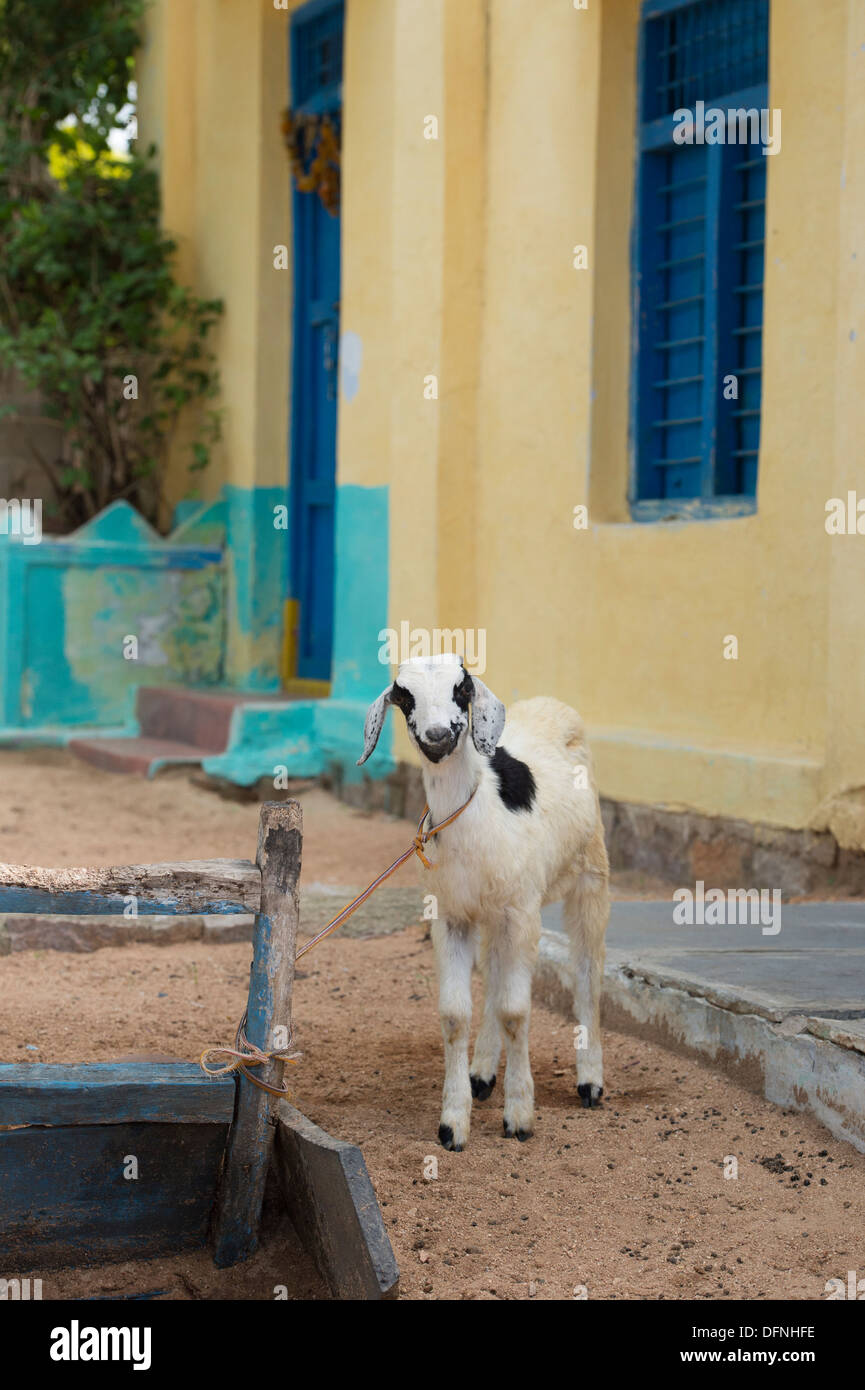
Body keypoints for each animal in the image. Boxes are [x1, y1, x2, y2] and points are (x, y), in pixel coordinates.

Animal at [358, 650, 609, 1150]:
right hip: (493, 912)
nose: (438, 735)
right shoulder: (452, 915)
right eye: (403, 695)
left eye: (461, 688)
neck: (478, 811)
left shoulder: (523, 913)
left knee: (588, 974)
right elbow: (456, 1014)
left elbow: (516, 1010)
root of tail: (551, 706)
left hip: (591, 874)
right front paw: (453, 1124)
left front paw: (520, 1118)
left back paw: (590, 1081)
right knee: (493, 975)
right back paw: (482, 1073)